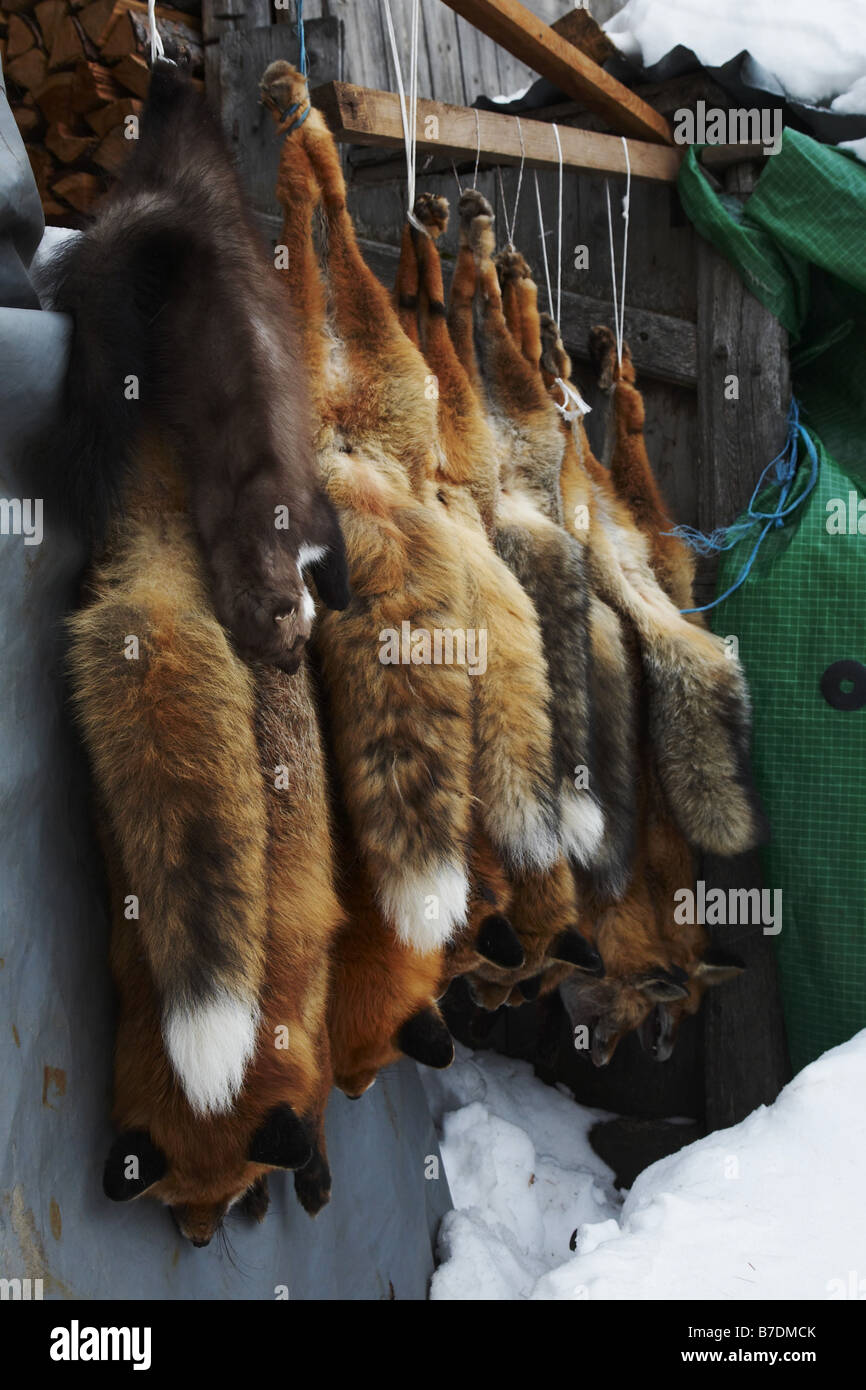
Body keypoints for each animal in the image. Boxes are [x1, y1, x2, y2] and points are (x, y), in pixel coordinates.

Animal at [42, 60, 349, 672]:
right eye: (270, 654)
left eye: (296, 641)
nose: (290, 666)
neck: (244, 505)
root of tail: (181, 202)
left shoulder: (311, 511)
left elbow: (337, 555)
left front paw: (345, 596)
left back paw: (168, 72)